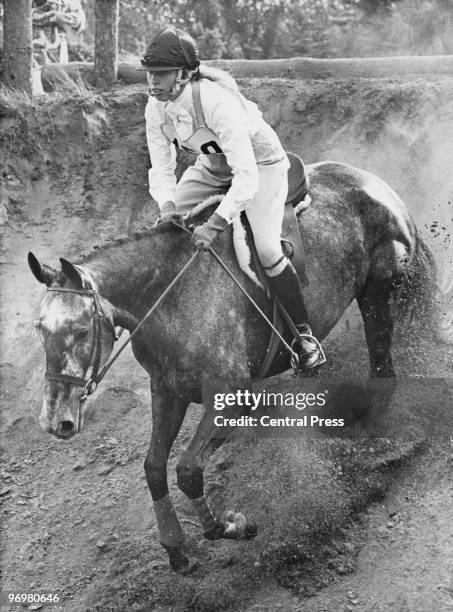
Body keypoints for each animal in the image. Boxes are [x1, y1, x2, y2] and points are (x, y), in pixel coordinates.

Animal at [27, 161, 434, 572]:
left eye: (81, 329)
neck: (170, 298)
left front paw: (231, 525)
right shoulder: (168, 391)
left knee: (384, 374)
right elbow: (154, 469)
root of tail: (366, 179)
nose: (55, 421)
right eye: (40, 328)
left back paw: (378, 447)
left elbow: (188, 472)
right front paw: (176, 548)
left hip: (377, 294)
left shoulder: (231, 398)